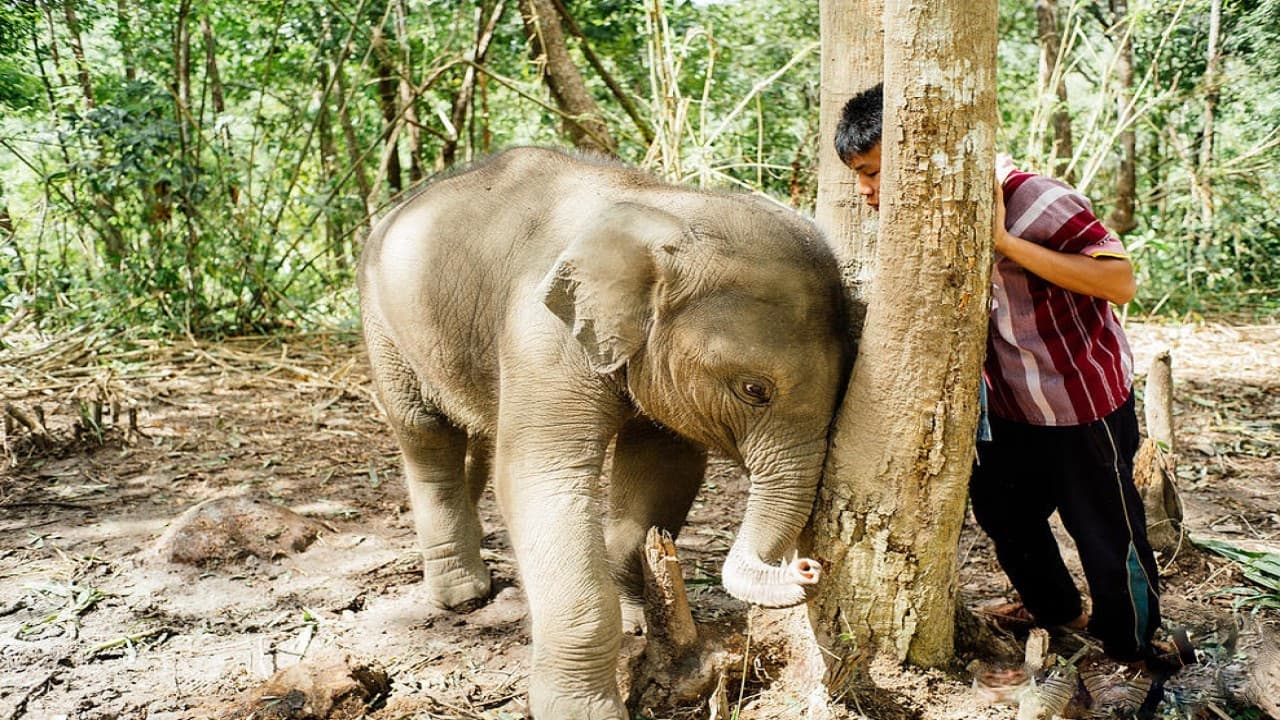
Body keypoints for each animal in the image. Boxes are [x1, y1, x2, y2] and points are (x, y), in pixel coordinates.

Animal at [358, 147, 852, 719]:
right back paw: (462, 594)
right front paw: (584, 710)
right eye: (754, 390)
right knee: (426, 435)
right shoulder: (541, 331)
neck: (666, 211)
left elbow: (665, 469)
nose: (810, 567)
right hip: (382, 325)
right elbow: (539, 478)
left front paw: (637, 622)